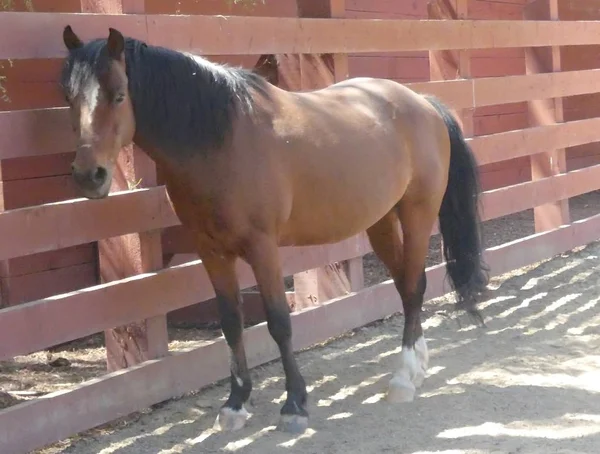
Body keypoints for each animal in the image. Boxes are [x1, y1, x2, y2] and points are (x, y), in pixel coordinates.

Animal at [61, 25, 490, 436]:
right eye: (70, 98)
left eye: (119, 95)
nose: (88, 176)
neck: (222, 141)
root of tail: (424, 103)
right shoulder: (211, 251)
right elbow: (230, 322)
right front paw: (235, 404)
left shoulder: (262, 248)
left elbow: (279, 322)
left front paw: (295, 405)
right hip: (381, 222)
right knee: (404, 286)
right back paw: (417, 366)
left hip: (417, 214)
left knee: (415, 285)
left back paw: (404, 377)